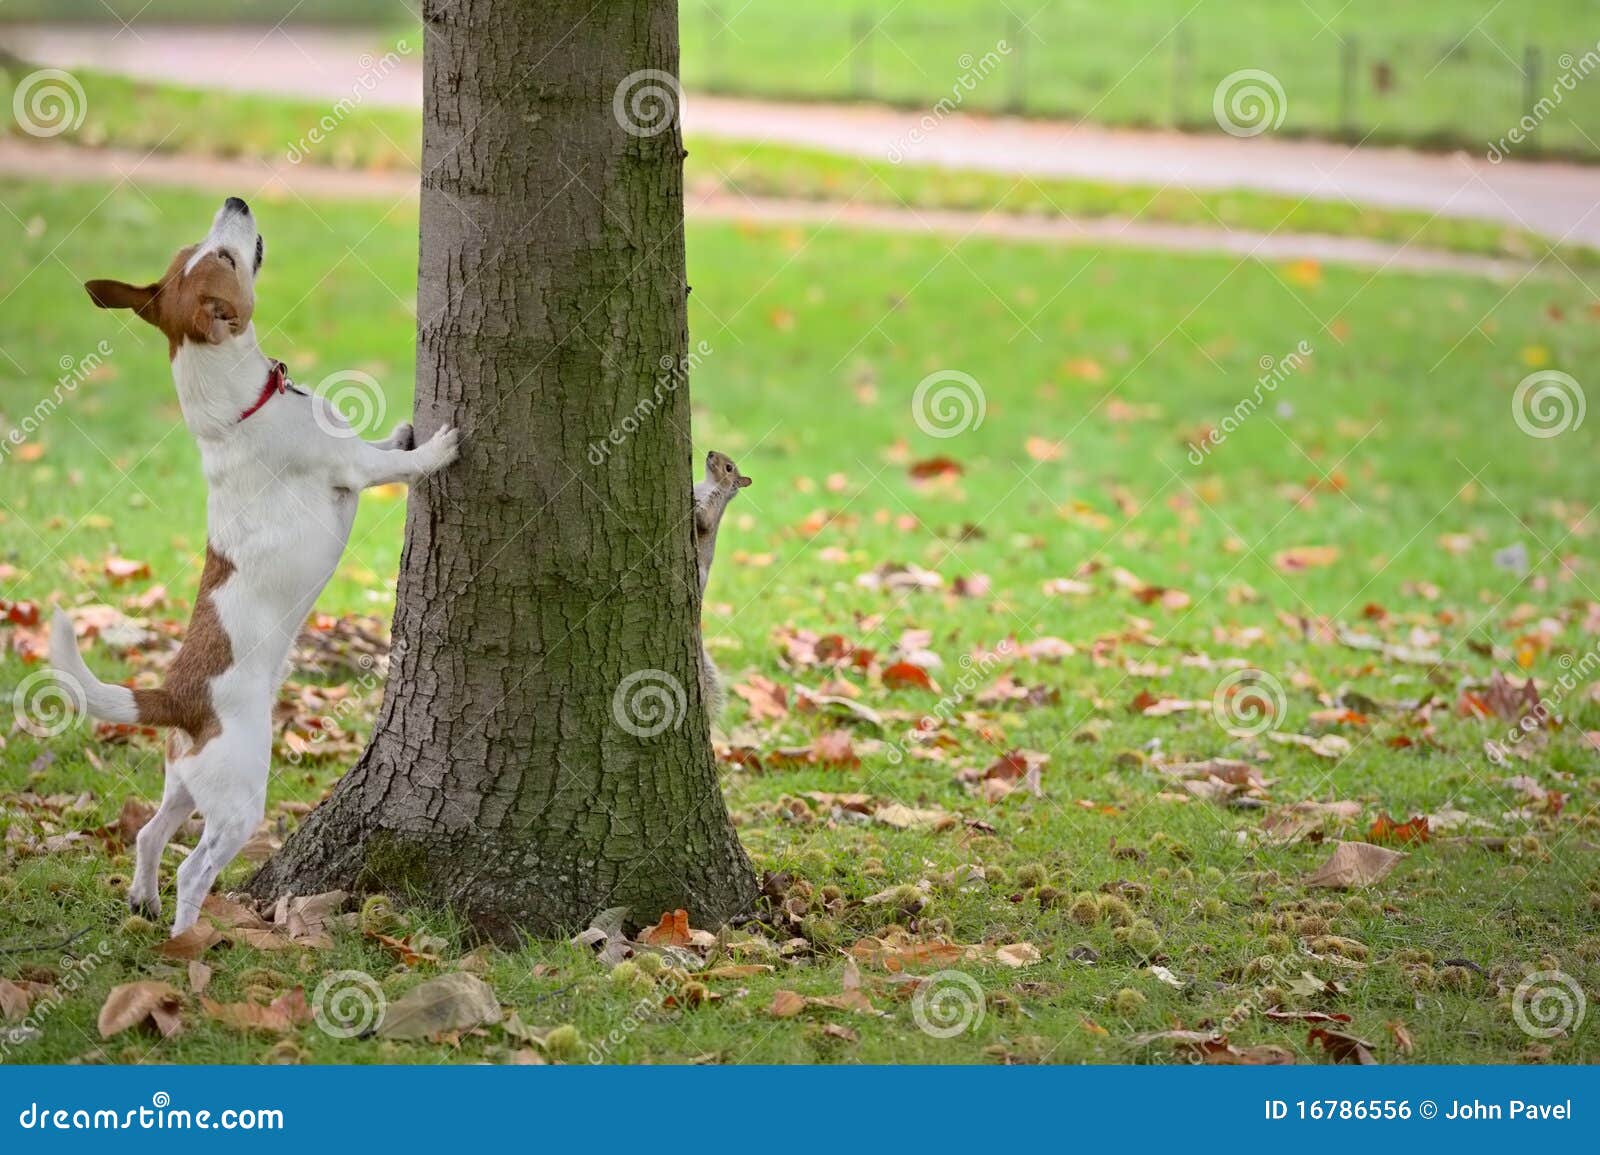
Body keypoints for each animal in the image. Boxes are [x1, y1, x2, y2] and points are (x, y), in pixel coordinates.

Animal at [50, 195, 460, 934]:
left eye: (202, 248)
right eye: (223, 256)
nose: (235, 201)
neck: (238, 408)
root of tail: (176, 696)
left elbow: (381, 442)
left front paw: (403, 429)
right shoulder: (352, 470)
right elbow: (394, 463)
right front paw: (435, 446)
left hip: (185, 784)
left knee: (149, 833)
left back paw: (144, 899)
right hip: (239, 798)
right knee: (192, 867)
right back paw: (187, 937)